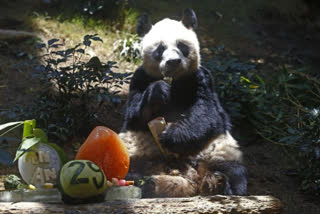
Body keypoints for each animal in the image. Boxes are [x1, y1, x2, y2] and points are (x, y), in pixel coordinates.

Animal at [119, 8, 246, 197]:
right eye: (160, 49)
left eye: (182, 46)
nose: (173, 61)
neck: (174, 79)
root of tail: (192, 180)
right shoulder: (140, 77)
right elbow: (134, 114)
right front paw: (159, 91)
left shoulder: (200, 78)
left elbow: (207, 114)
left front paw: (170, 136)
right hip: (133, 151)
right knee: (123, 169)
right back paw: (145, 182)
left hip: (219, 150)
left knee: (234, 171)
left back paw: (223, 184)